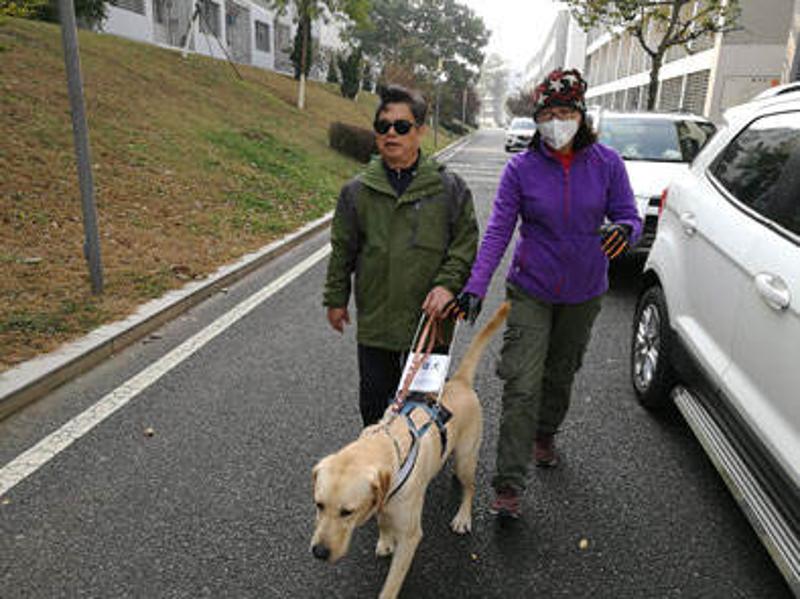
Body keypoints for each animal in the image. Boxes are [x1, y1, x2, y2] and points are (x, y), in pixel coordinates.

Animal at [310, 304, 506, 599]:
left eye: (347, 512)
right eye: (319, 505)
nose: (319, 553)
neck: (387, 447)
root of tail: (460, 381)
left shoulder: (411, 536)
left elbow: (391, 585)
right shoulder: (381, 502)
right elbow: (382, 520)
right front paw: (384, 539)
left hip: (466, 458)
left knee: (469, 487)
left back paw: (463, 517)